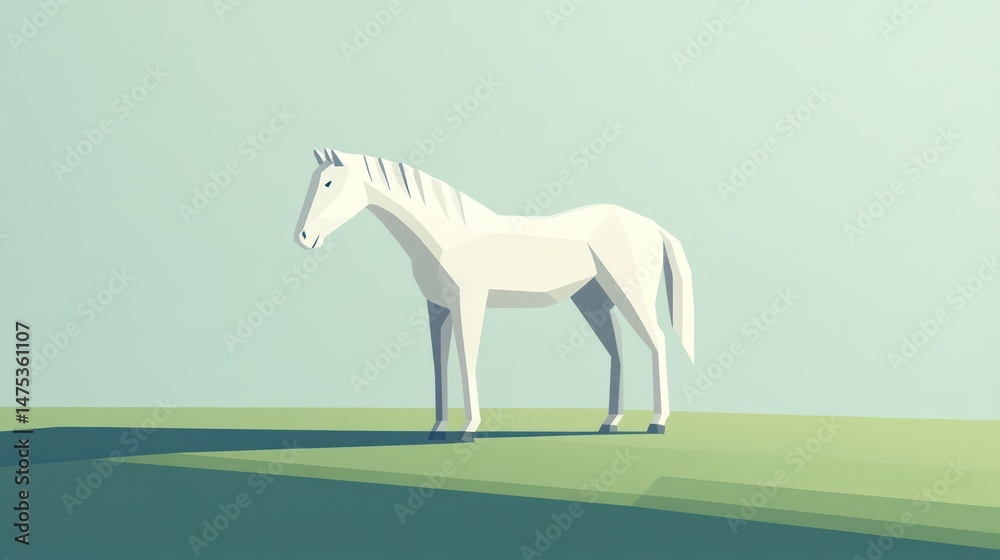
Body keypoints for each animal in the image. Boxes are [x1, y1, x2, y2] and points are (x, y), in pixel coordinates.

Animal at [294, 148, 694, 441]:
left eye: (328, 183)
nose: (303, 237)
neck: (448, 236)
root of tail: (652, 225)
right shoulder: (437, 308)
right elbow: (439, 366)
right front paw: (437, 429)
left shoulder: (469, 303)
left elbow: (466, 360)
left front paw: (468, 429)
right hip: (592, 301)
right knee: (618, 350)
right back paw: (610, 422)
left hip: (630, 294)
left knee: (657, 342)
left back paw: (657, 422)